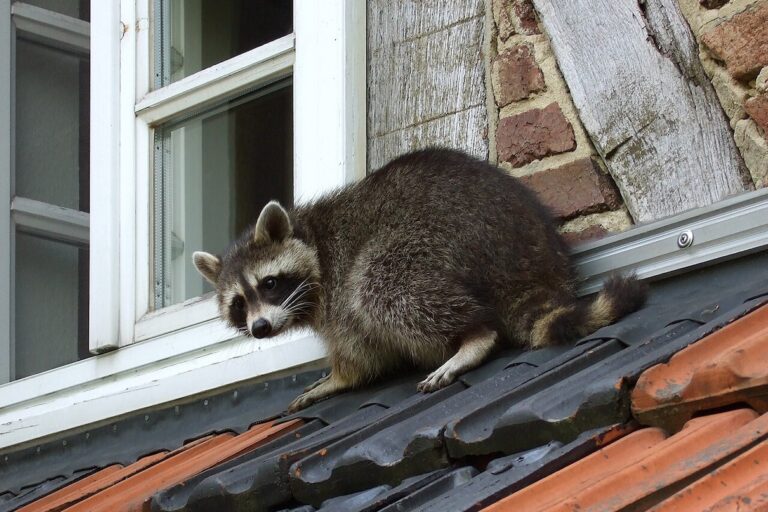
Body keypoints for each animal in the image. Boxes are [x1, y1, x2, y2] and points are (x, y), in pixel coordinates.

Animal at [193, 148, 646, 412]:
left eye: (269, 284)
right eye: (239, 303)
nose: (260, 327)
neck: (311, 237)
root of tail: (528, 258)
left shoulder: (336, 288)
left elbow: (359, 351)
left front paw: (340, 378)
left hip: (438, 237)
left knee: (380, 287)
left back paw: (473, 335)